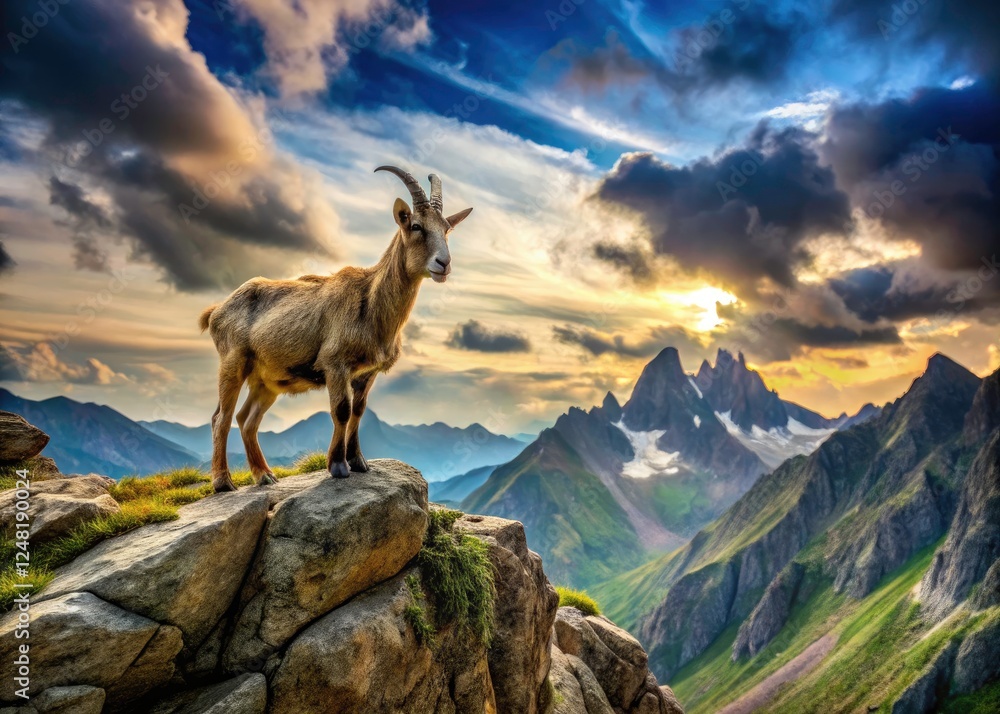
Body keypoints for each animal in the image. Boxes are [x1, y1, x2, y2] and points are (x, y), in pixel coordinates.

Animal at [199, 166, 473, 492]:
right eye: (416, 226)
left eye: (446, 229)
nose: (443, 263)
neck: (371, 302)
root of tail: (216, 311)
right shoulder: (335, 363)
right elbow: (341, 409)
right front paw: (338, 466)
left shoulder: (366, 372)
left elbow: (358, 410)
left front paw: (359, 462)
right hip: (233, 362)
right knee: (221, 417)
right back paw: (223, 482)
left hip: (267, 380)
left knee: (246, 418)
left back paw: (264, 475)